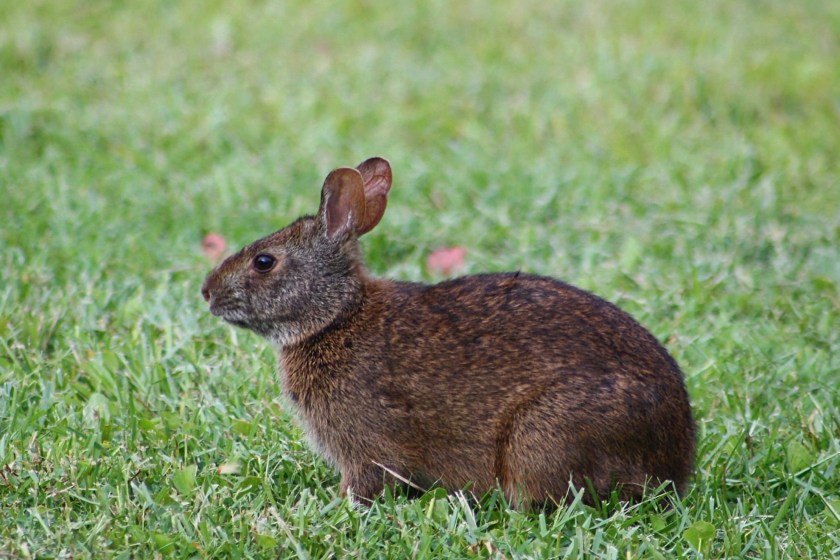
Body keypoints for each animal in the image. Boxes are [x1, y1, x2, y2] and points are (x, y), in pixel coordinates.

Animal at [201, 157, 696, 508]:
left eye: (264, 262)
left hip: (545, 435)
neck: (339, 316)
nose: (206, 292)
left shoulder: (366, 446)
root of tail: (677, 458)